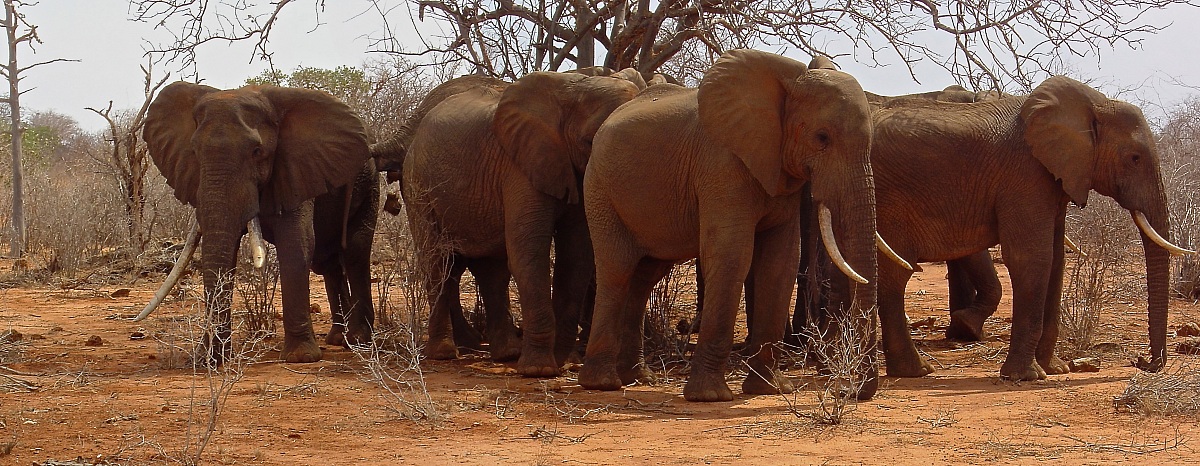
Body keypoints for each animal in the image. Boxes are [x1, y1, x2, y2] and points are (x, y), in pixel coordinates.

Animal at [140, 82, 372, 364]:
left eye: (257, 152)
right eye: (194, 152)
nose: (210, 360)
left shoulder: (295, 167)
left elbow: (296, 245)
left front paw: (300, 357)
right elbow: (224, 254)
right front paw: (209, 356)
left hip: (369, 184)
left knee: (355, 250)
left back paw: (358, 340)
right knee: (329, 263)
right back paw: (338, 339)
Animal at [399, 71, 640, 376]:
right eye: (589, 142)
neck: (574, 90)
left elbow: (576, 258)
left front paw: (561, 362)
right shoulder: (520, 166)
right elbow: (529, 254)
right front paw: (540, 370)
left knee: (492, 269)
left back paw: (507, 354)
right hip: (418, 185)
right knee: (438, 262)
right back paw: (444, 354)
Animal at [578, 49, 880, 402]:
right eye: (822, 138)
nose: (848, 391)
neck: (788, 80)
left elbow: (781, 262)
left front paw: (770, 389)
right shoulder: (721, 165)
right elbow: (733, 255)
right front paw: (710, 397)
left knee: (645, 276)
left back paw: (639, 378)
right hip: (600, 189)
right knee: (617, 271)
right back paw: (602, 383)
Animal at [841, 75, 1193, 381]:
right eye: (1134, 158)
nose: (1143, 361)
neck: (1094, 104)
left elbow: (1056, 259)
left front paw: (1055, 369)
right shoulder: (1025, 175)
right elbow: (1032, 257)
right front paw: (1026, 376)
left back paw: (912, 370)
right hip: (890, 204)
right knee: (895, 274)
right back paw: (916, 371)